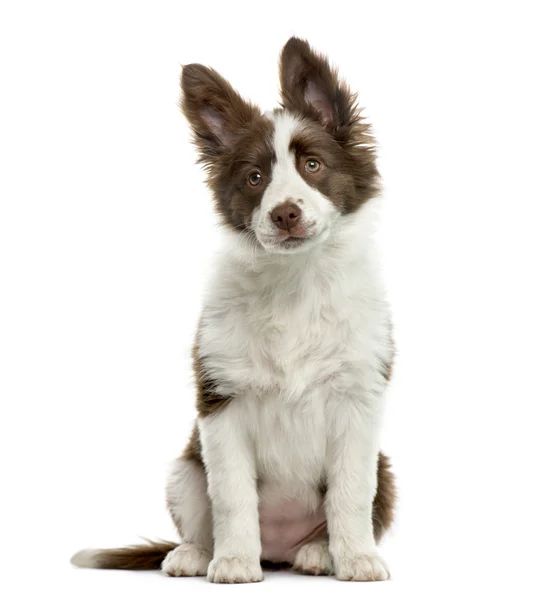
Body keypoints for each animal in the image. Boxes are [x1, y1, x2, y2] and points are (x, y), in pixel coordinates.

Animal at [72, 36, 396, 580]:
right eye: (255, 177)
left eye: (313, 166)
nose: (285, 214)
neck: (295, 282)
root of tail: (279, 550)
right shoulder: (221, 403)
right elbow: (231, 494)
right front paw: (234, 561)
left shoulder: (358, 400)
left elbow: (351, 491)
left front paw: (356, 559)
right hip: (185, 466)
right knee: (202, 512)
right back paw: (197, 554)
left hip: (386, 468)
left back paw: (318, 552)